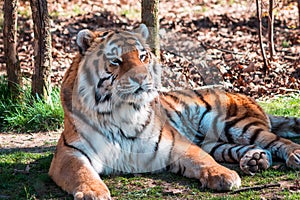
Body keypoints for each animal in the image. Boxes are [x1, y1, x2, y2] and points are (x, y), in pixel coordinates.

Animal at [49, 23, 300, 198]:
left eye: (143, 56)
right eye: (116, 60)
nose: (143, 78)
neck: (123, 112)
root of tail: (242, 94)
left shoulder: (175, 142)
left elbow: (201, 160)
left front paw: (223, 175)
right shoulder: (71, 152)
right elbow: (81, 172)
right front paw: (94, 192)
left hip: (235, 125)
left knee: (276, 140)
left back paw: (293, 155)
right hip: (216, 141)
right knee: (243, 148)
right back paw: (255, 160)